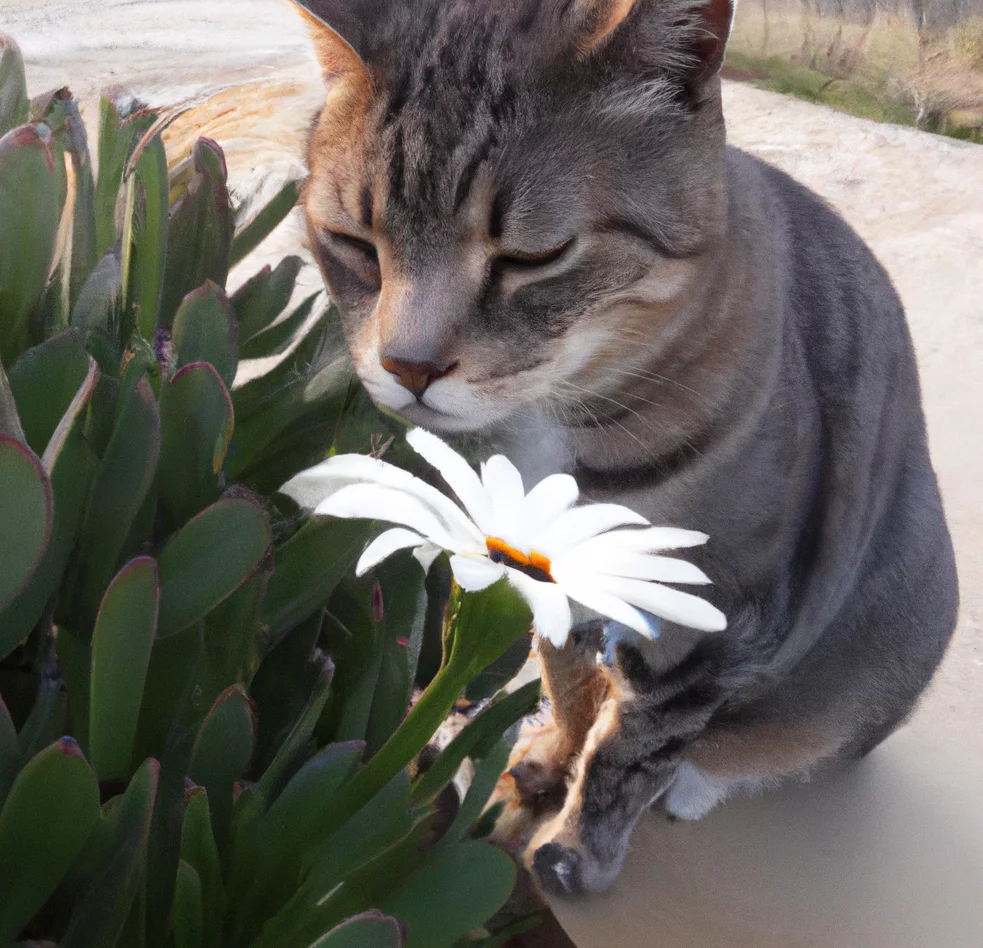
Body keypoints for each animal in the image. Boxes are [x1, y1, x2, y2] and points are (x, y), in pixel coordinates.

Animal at [292, 0, 960, 896]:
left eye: (533, 255)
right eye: (353, 242)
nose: (409, 366)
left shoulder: (715, 622)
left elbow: (629, 753)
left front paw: (578, 847)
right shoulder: (548, 570)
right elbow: (569, 678)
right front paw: (550, 754)